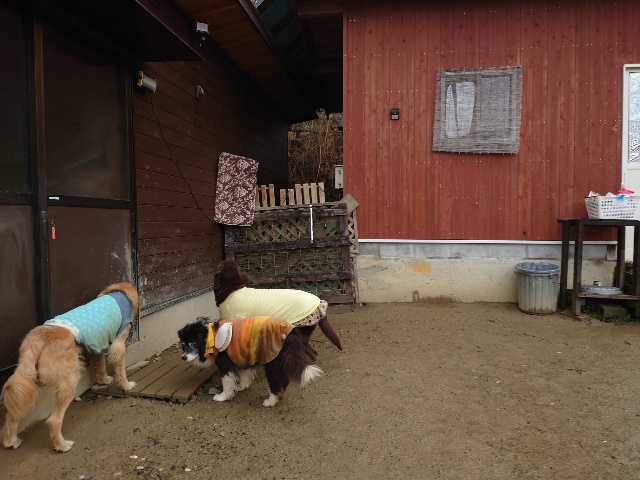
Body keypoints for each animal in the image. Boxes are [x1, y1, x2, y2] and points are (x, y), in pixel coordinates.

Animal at [2, 282, 138, 452]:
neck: (120, 292)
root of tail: (37, 338)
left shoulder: (100, 343)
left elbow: (99, 363)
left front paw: (103, 379)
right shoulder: (119, 344)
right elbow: (120, 370)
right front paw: (126, 385)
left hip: (24, 381)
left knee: (12, 415)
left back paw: (11, 441)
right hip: (69, 380)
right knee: (54, 419)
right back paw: (62, 445)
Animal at [178, 316, 323, 407]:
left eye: (192, 344)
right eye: (183, 345)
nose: (183, 357)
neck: (209, 337)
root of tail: (289, 334)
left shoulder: (224, 366)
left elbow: (226, 383)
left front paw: (222, 397)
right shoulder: (242, 357)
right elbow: (244, 375)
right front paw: (241, 387)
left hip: (272, 364)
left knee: (276, 384)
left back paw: (270, 402)